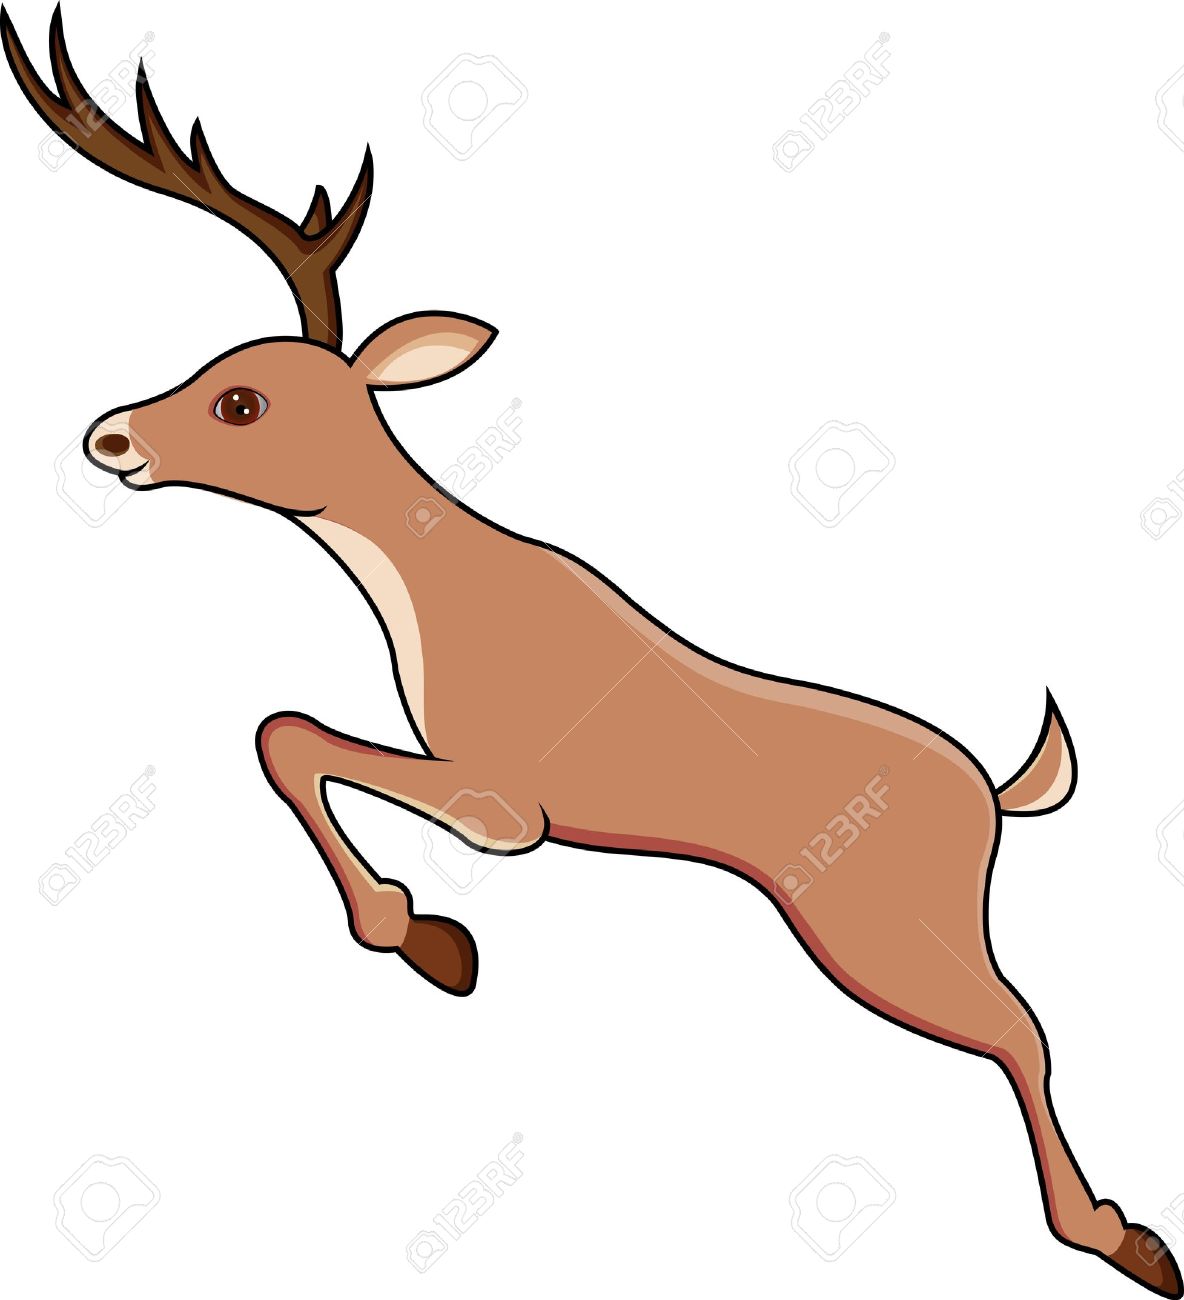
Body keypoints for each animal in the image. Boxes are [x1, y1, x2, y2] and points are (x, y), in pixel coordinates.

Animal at [4, 8, 1178, 1295]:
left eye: (243, 401)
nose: (111, 437)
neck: (441, 595)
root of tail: (996, 794)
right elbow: (280, 734)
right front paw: (430, 942)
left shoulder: (508, 805)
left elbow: (290, 733)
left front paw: (429, 937)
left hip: (882, 929)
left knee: (1020, 1026)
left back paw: (1123, 1237)